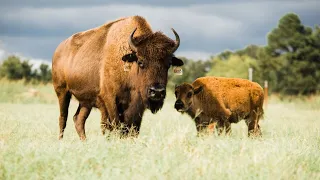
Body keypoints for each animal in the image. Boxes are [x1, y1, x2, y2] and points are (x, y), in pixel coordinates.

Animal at [52, 15, 182, 141]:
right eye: (140, 62)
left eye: (168, 64)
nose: (157, 92)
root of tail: (58, 49)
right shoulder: (110, 100)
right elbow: (113, 126)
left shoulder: (137, 107)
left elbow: (132, 130)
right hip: (62, 92)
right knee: (63, 118)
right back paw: (61, 140)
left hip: (85, 102)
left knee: (78, 119)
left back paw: (84, 141)